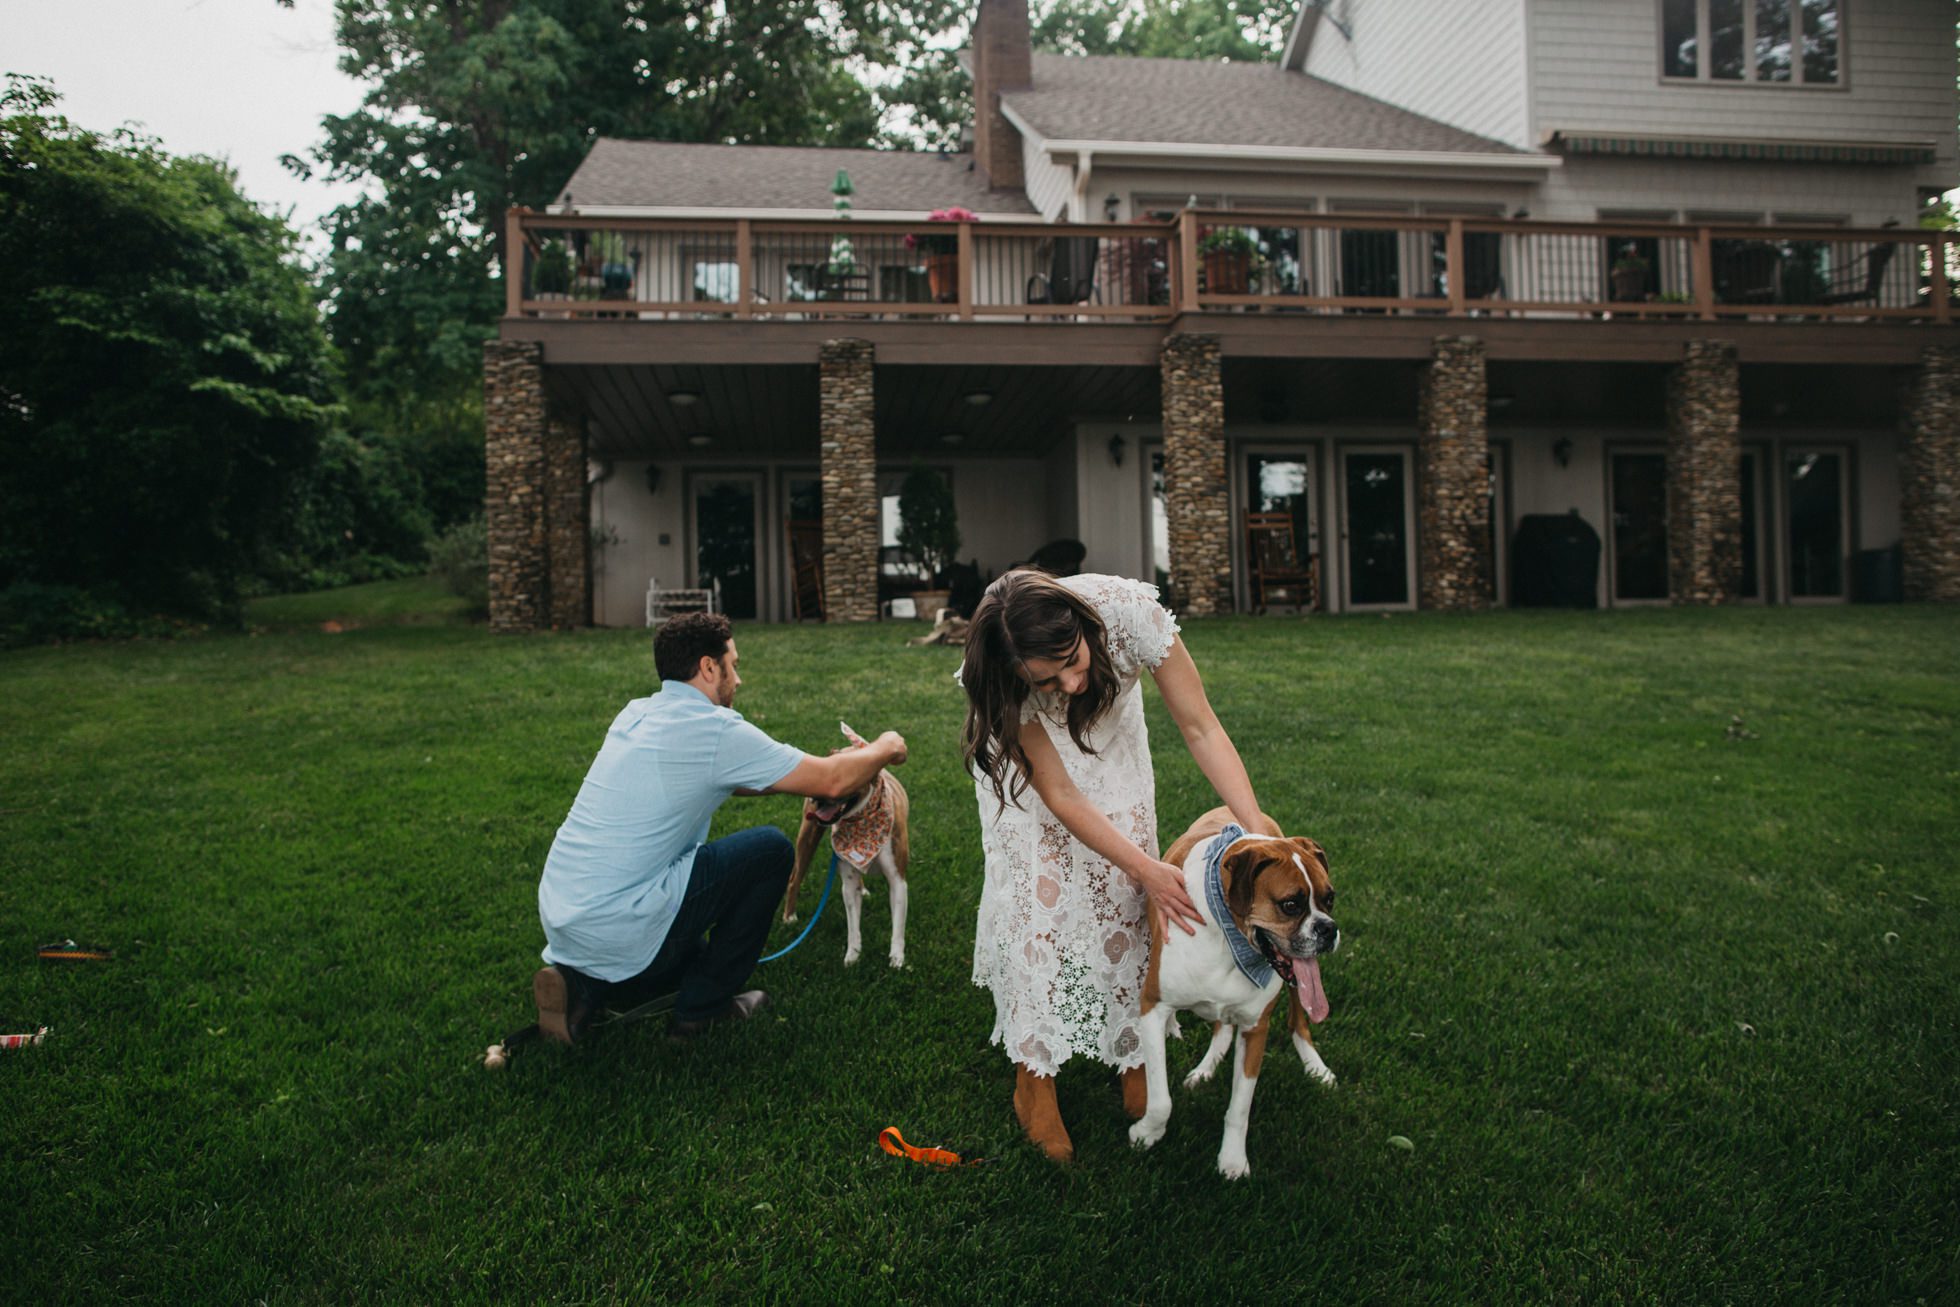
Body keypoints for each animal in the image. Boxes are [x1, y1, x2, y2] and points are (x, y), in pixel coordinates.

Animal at [780, 721, 909, 968]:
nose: (818, 794)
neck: (861, 819)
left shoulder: (898, 880)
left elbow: (898, 925)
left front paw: (897, 958)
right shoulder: (848, 883)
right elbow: (853, 925)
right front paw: (853, 955)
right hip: (808, 837)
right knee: (794, 878)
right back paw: (789, 917)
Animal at [1128, 803, 1340, 1183]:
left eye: (1329, 899)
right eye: (1290, 904)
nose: (1329, 929)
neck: (1229, 938)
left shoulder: (1255, 1029)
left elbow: (1240, 1107)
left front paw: (1232, 1160)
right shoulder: (1152, 1007)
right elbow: (1161, 1098)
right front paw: (1147, 1133)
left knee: (1296, 1020)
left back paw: (1316, 1067)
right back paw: (1200, 1063)